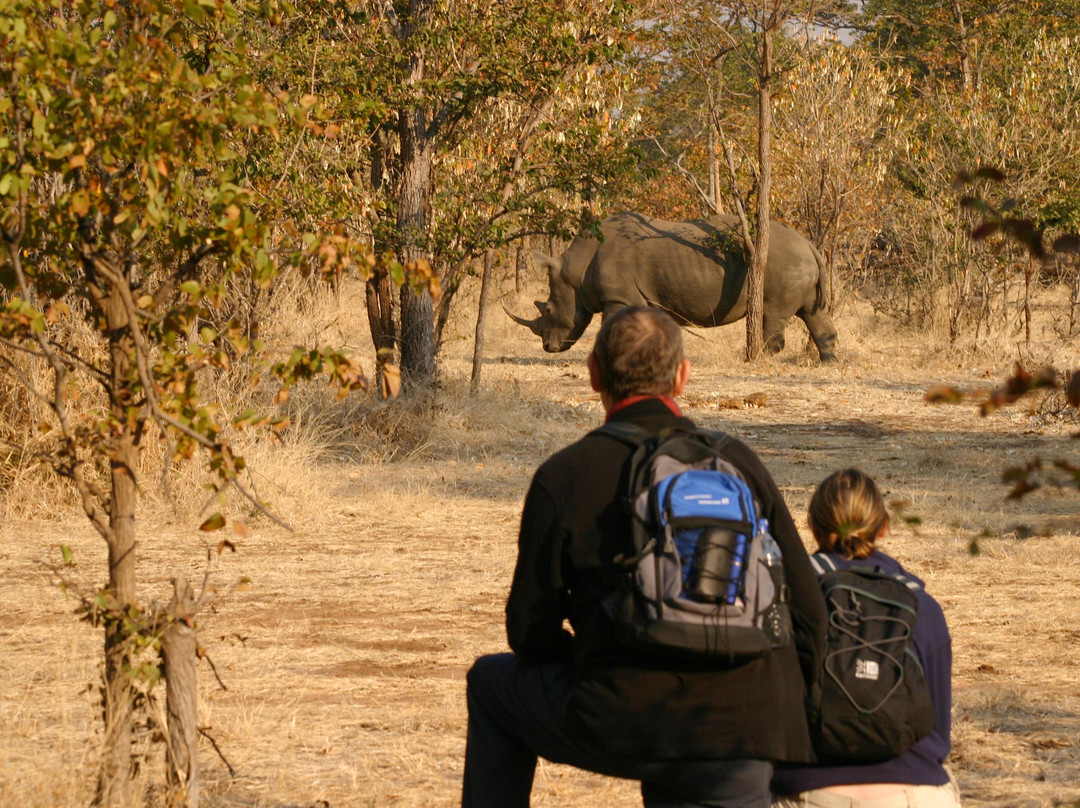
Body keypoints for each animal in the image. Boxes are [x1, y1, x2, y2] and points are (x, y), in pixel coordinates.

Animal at [508, 212, 838, 362]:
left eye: (548, 309)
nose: (548, 347)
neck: (576, 270)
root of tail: (809, 244)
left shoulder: (618, 298)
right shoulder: (642, 297)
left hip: (783, 261)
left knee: (773, 314)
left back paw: (760, 359)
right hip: (798, 261)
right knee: (812, 313)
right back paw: (828, 362)